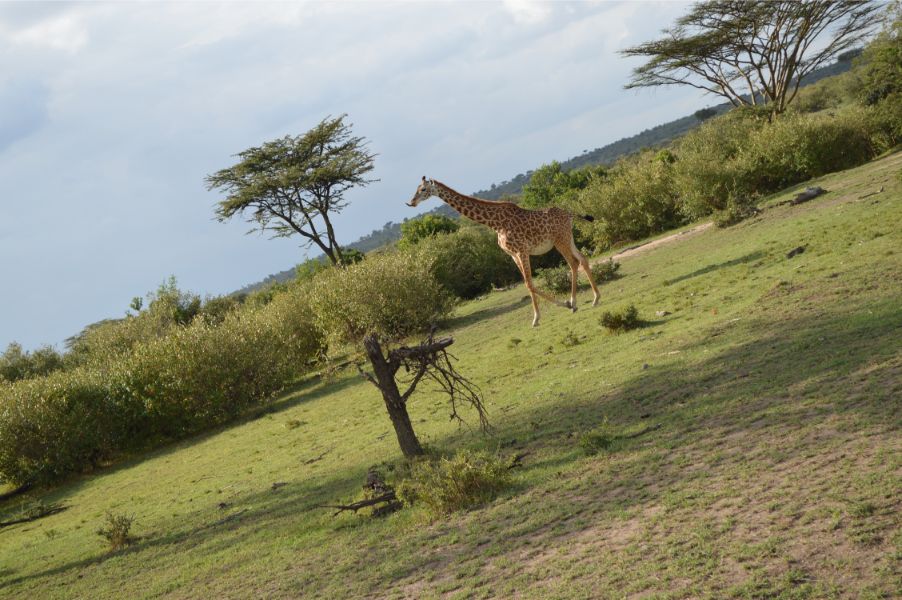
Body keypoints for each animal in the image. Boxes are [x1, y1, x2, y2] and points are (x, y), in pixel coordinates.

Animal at [408, 177, 600, 327]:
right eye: (416, 188)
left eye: (423, 189)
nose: (411, 202)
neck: (494, 223)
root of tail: (569, 214)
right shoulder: (513, 254)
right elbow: (528, 284)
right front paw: (536, 318)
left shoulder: (522, 250)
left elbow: (529, 284)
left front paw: (563, 305)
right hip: (568, 238)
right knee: (583, 259)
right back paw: (595, 299)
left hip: (560, 241)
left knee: (573, 263)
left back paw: (574, 303)